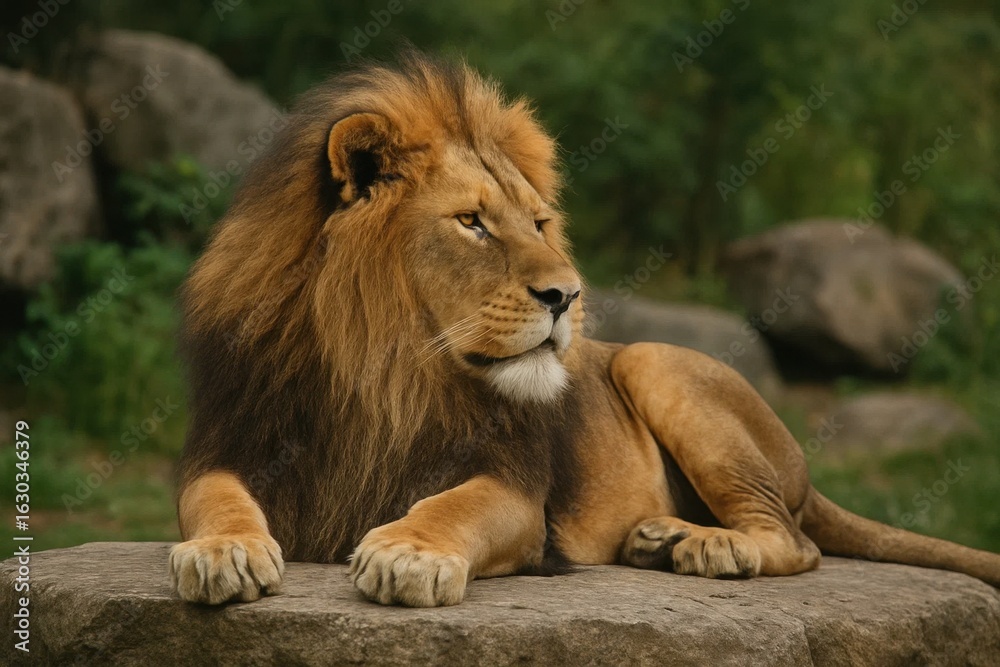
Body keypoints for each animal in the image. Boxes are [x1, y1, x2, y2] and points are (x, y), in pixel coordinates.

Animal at [169, 51, 1000, 607]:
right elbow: (212, 496)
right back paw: (660, 537)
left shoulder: (518, 490)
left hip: (655, 363)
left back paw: (711, 544)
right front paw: (221, 551)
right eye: (472, 222)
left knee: (797, 542)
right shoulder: (232, 440)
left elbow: (452, 506)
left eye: (538, 222)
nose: (567, 295)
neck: (384, 366)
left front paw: (408, 552)